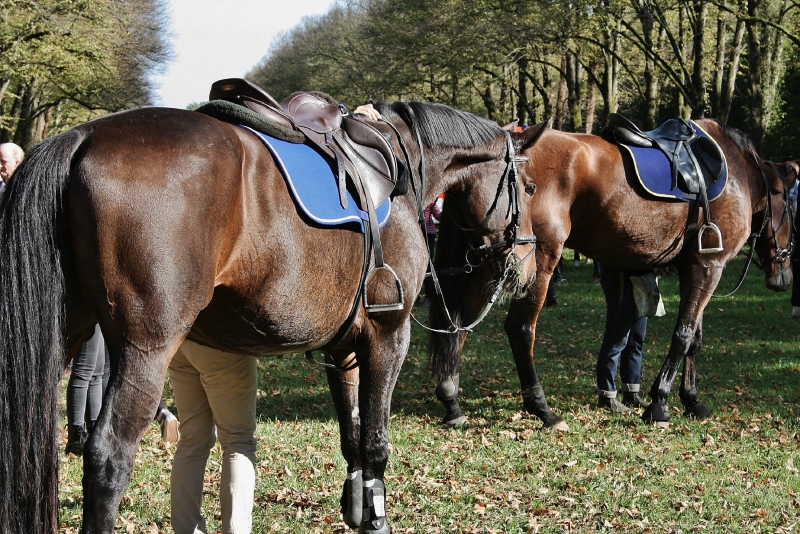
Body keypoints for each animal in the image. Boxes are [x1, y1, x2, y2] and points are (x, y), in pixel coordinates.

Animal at [0, 101, 536, 534]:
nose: (527, 265)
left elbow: (352, 435)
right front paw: (377, 517)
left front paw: (357, 506)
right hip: (145, 349)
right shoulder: (388, 335)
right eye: (529, 187)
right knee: (108, 456)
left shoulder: (343, 348)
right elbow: (377, 440)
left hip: (67, 334)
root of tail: (82, 136)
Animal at [428, 117, 792, 432]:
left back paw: (452, 402)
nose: (783, 276)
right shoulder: (708, 266)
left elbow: (695, 339)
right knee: (519, 329)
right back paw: (542, 408)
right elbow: (684, 336)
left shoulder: (695, 269)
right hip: (535, 261)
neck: (737, 175)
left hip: (491, 257)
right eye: (792, 207)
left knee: (459, 323)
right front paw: (660, 403)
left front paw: (691, 400)